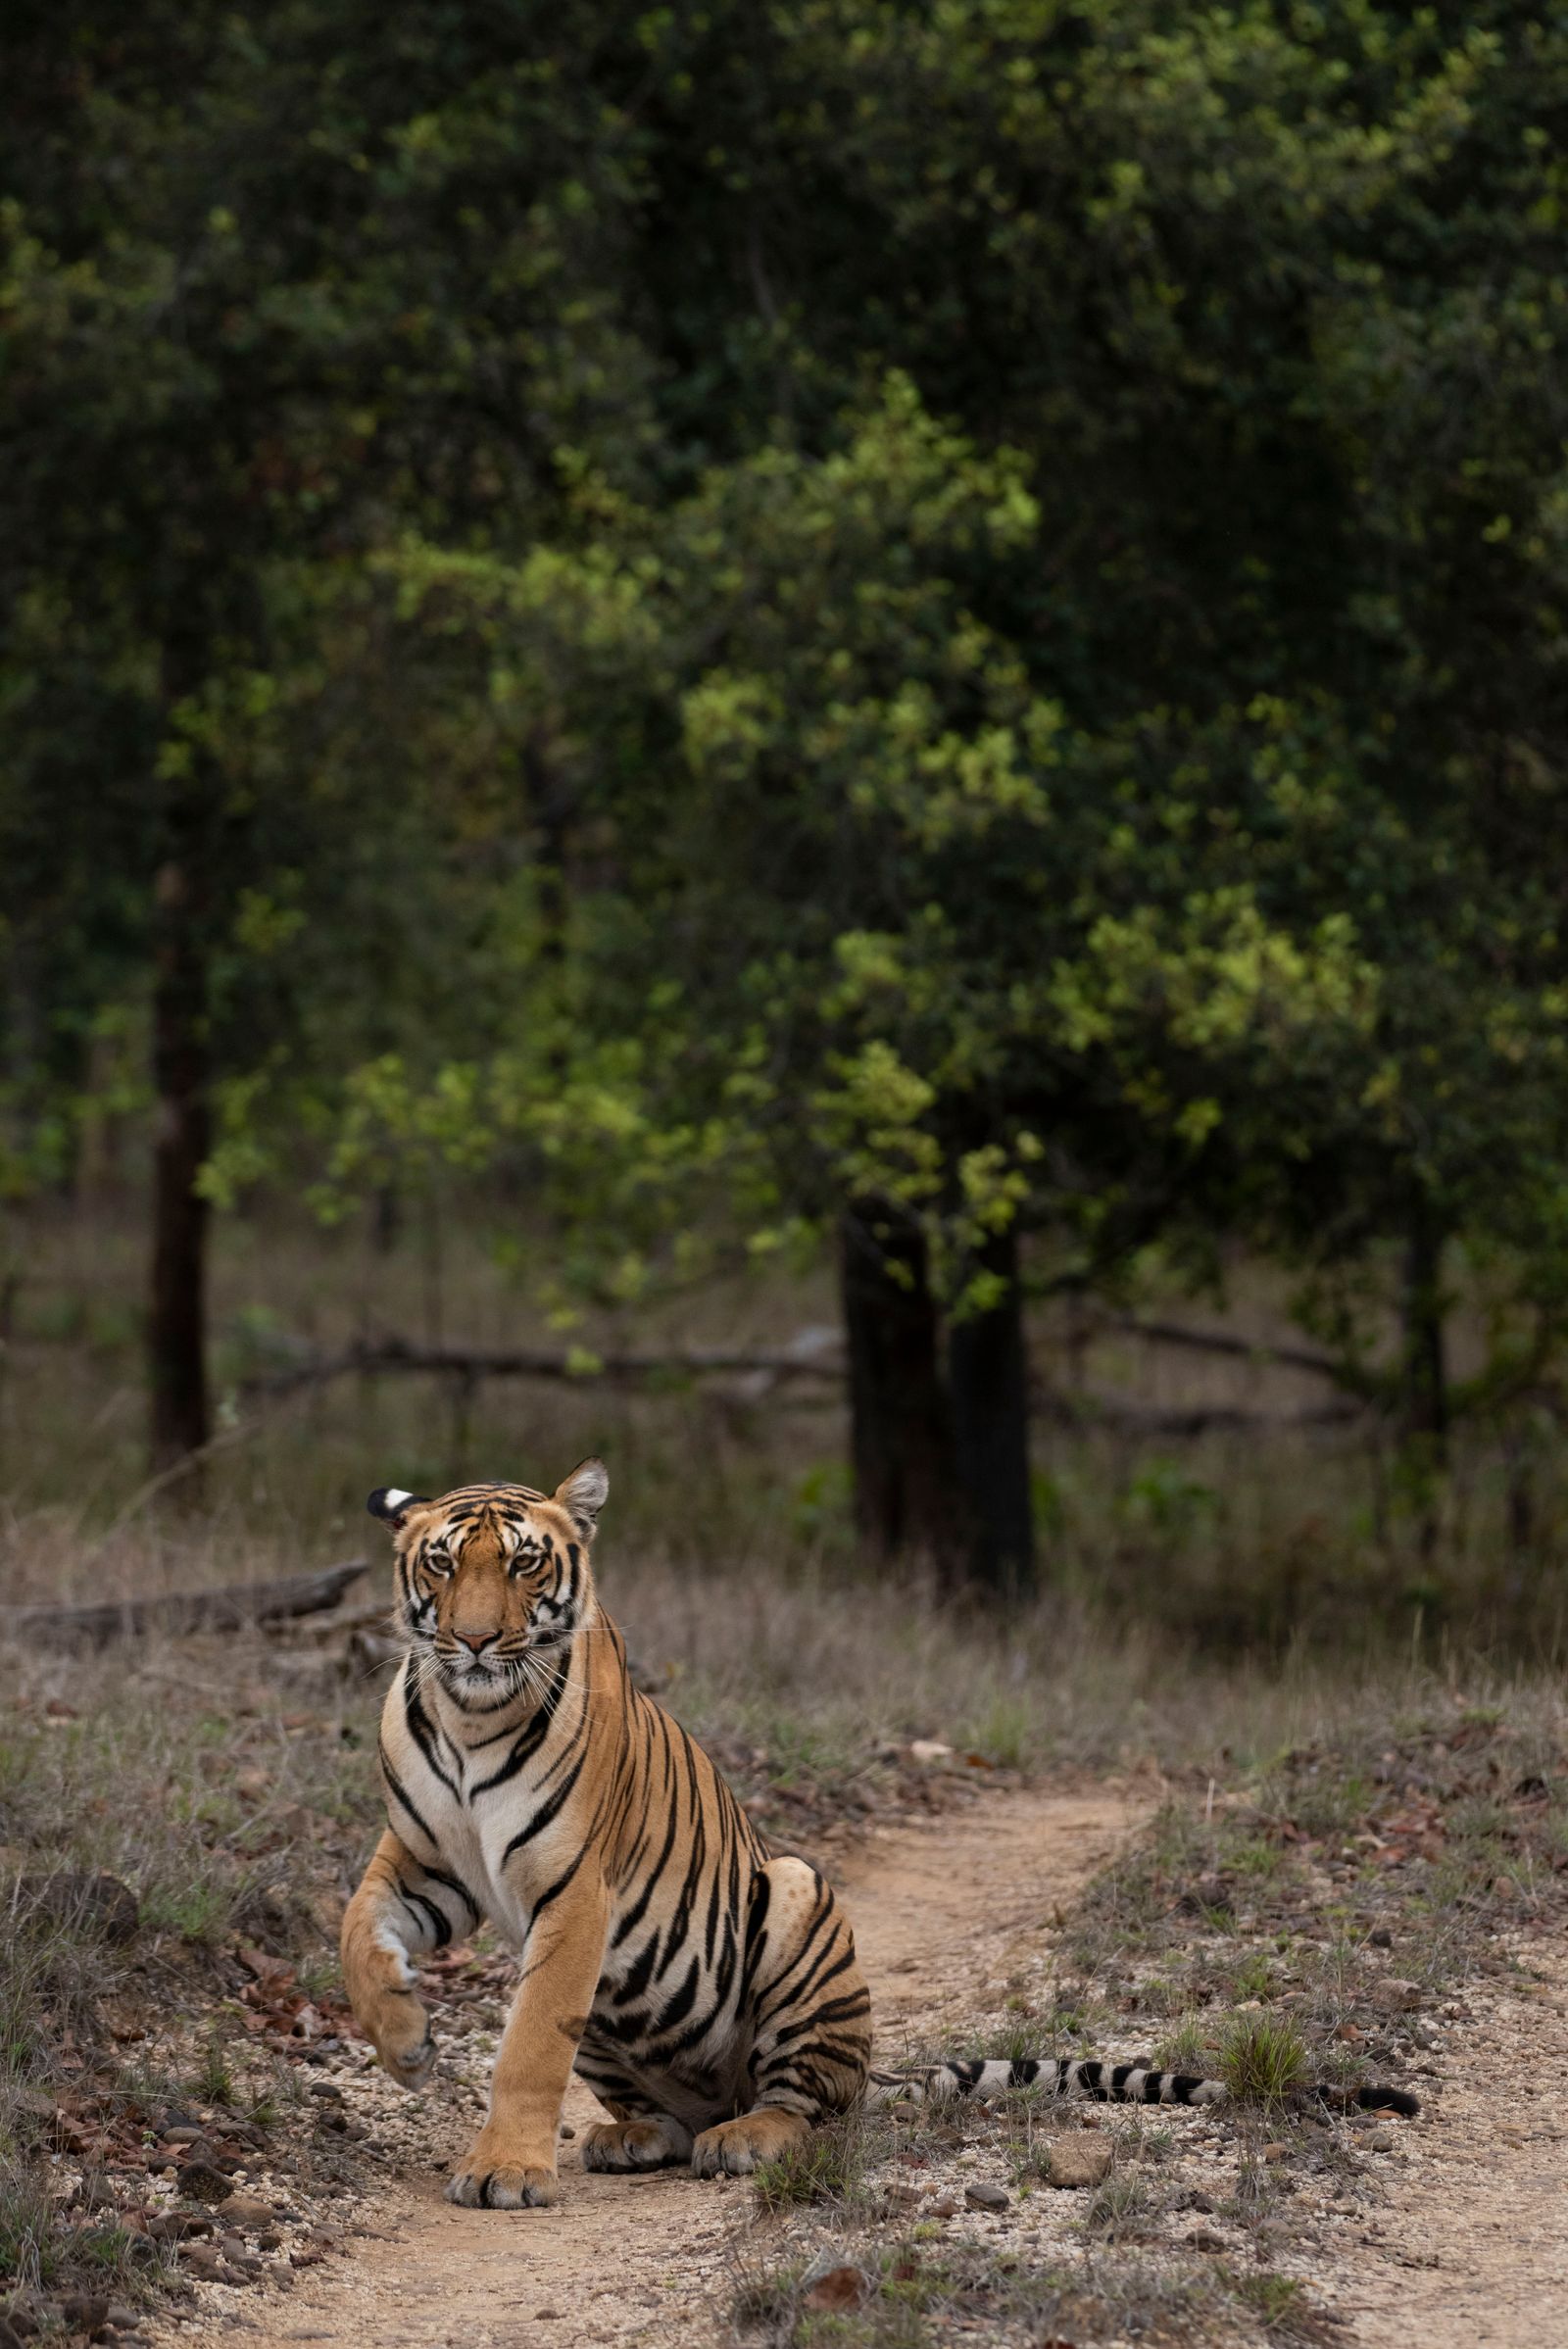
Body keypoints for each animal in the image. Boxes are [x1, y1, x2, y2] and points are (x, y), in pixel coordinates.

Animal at [339, 1463, 1415, 2212]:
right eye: (443, 1561)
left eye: (524, 1562)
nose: (477, 1641)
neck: (471, 1716)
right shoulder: (428, 1864)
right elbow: (356, 1932)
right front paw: (406, 2043)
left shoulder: (576, 1893)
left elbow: (528, 2042)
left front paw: (505, 2171)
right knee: (667, 2110)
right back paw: (633, 2135)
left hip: (796, 1897)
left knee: (808, 2102)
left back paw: (745, 2137)